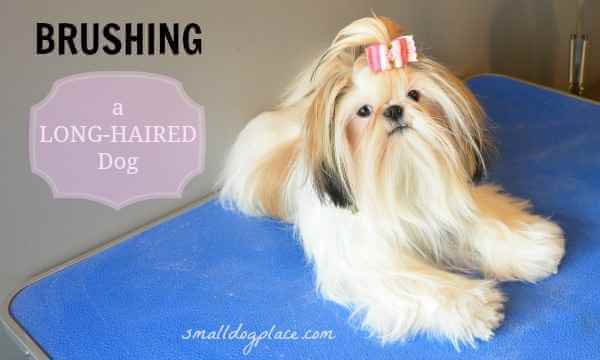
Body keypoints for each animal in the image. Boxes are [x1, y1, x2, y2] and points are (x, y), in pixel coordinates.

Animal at [218, 16, 564, 346]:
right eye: (363, 111)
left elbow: (484, 222)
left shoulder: (450, 205)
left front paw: (532, 246)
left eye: (414, 94)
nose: (395, 110)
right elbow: (420, 280)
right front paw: (472, 307)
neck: (401, 172)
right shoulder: (372, 260)